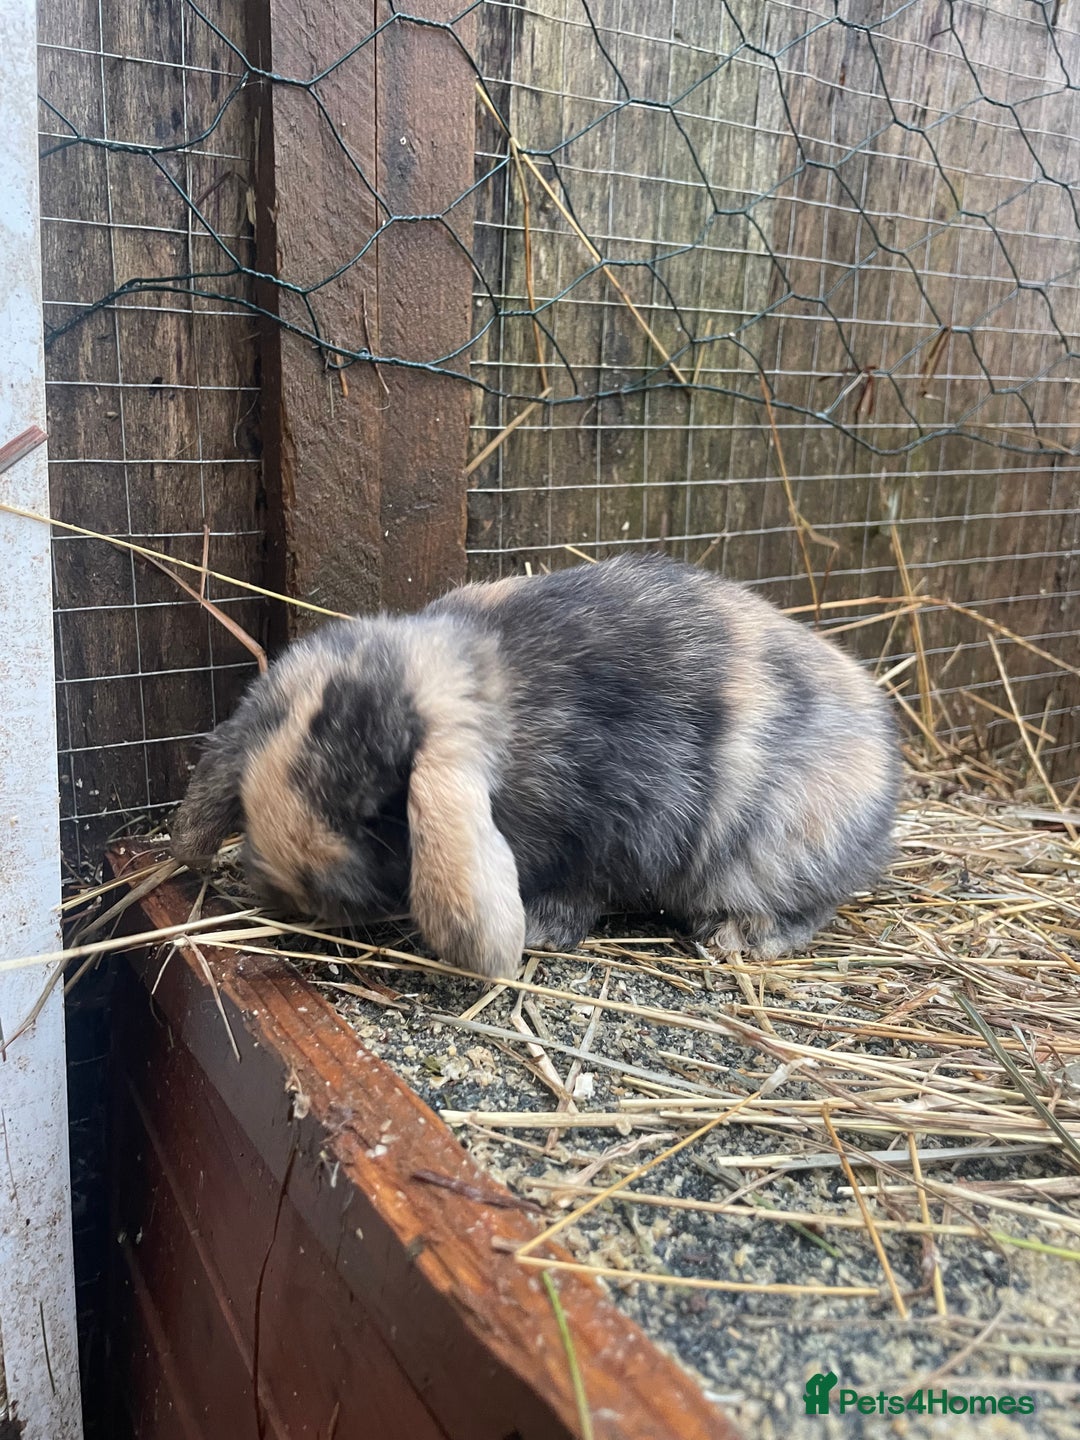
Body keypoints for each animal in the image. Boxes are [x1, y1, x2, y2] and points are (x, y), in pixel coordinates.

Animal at [170, 554, 900, 978]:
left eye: (379, 812)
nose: (293, 891)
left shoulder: (620, 825)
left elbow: (587, 886)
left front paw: (542, 930)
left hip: (787, 849)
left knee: (814, 906)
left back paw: (739, 936)